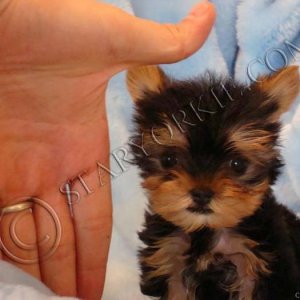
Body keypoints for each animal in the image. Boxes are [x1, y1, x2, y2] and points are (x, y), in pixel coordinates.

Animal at [126, 64, 300, 298]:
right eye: (168, 159)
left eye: (238, 165)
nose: (201, 194)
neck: (205, 230)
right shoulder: (170, 257)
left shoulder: (255, 263)